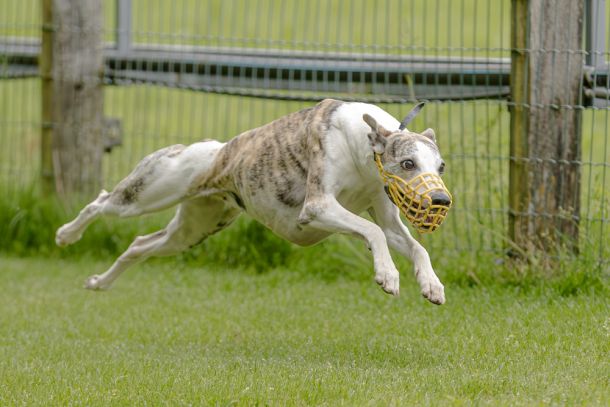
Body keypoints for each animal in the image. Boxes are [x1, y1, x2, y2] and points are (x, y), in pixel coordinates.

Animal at [54, 99, 448, 302]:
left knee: (138, 244)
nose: (441, 199)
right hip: (148, 191)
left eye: (441, 166)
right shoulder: (317, 207)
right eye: (408, 163)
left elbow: (411, 244)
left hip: (192, 230)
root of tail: (214, 150)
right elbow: (372, 232)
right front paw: (388, 275)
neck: (363, 143)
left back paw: (100, 282)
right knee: (100, 202)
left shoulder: (385, 215)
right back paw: (67, 234)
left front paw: (431, 284)